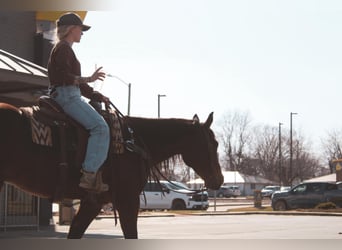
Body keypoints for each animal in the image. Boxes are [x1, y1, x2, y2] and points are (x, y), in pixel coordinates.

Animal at [0, 102, 223, 239]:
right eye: (215, 143)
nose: (219, 180)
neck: (132, 143)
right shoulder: (127, 201)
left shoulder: (93, 202)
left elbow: (75, 232)